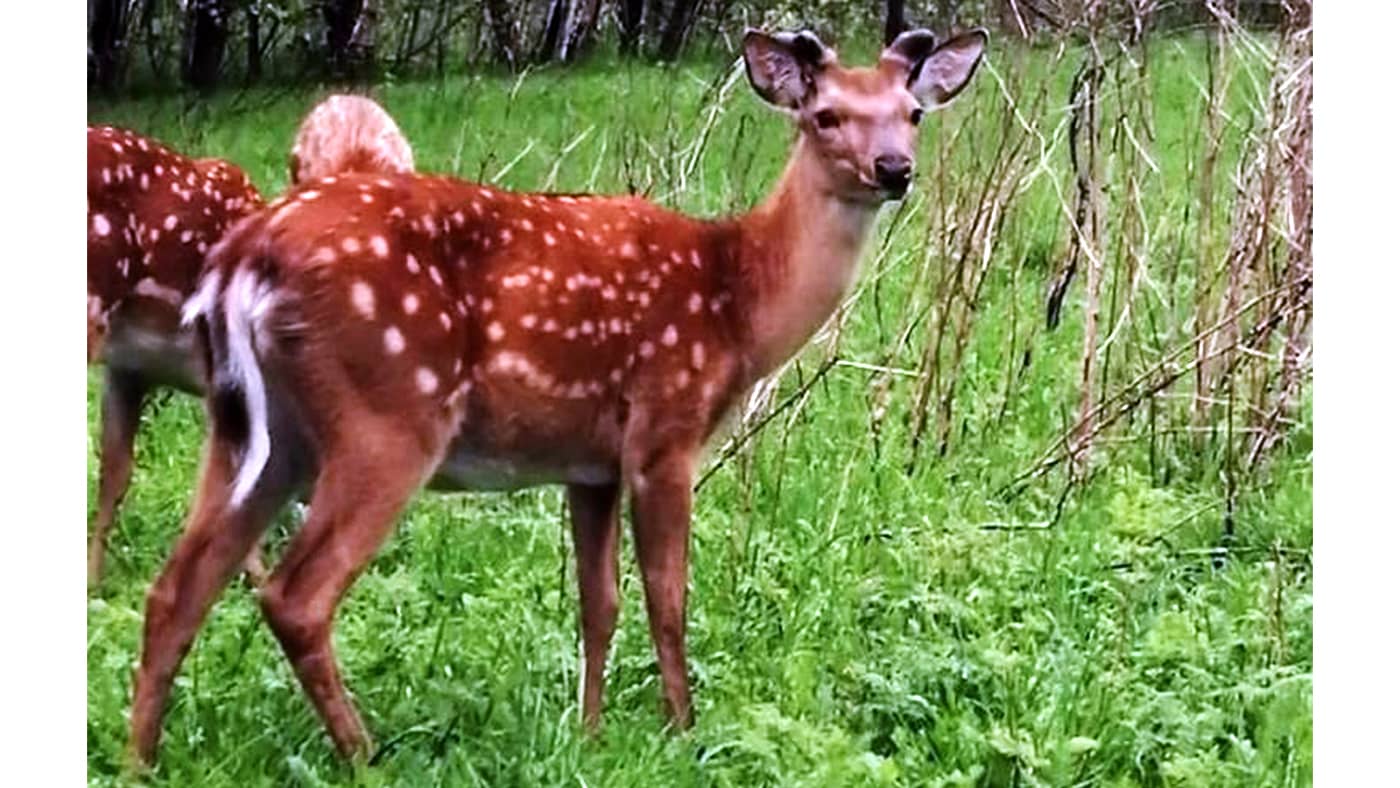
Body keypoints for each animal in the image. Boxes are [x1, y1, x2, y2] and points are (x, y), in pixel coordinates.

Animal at [126, 27, 991, 767]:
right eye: (825, 115)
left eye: (913, 112)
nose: (893, 168)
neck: (737, 301)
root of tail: (242, 257)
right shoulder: (664, 428)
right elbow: (668, 597)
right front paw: (682, 731)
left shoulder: (590, 464)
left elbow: (597, 603)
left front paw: (592, 732)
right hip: (386, 416)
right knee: (294, 596)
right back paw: (365, 754)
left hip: (248, 426)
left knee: (175, 586)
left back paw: (141, 758)